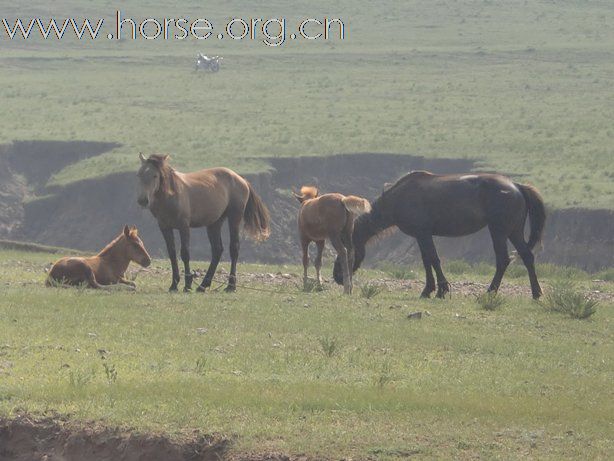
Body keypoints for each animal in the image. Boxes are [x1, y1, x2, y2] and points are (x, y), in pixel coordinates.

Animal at [137, 154, 272, 292]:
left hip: (234, 218)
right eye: (139, 174)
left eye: (155, 175)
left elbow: (185, 253)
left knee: (234, 248)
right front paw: (174, 285)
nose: (143, 200)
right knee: (217, 250)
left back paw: (230, 286)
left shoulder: (184, 226)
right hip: (215, 223)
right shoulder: (164, 227)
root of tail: (242, 180)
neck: (171, 194)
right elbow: (172, 254)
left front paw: (187, 285)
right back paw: (203, 285)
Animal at [336, 172, 548, 298]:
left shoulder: (423, 234)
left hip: (499, 231)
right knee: (527, 257)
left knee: (503, 260)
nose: (338, 278)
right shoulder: (421, 236)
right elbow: (427, 260)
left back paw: (489, 292)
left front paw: (440, 290)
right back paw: (536, 293)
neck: (399, 198)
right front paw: (430, 289)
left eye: (344, 251)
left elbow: (433, 259)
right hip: (514, 231)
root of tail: (517, 186)